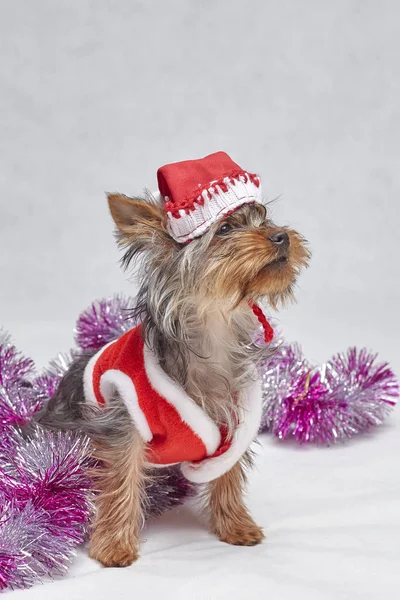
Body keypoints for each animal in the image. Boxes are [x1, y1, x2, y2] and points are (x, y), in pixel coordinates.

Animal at [39, 151, 310, 568]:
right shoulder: (122, 421)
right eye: (225, 228)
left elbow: (228, 474)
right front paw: (114, 545)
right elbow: (120, 479)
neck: (215, 326)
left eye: (265, 218)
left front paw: (236, 525)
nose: (281, 235)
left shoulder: (235, 418)